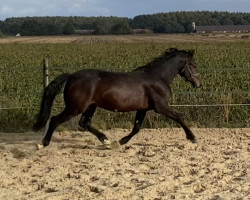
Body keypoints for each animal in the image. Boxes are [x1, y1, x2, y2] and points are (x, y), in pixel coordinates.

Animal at [33, 48, 201, 148]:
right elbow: (178, 117)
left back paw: (106, 141)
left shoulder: (143, 109)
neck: (158, 77)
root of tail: (71, 76)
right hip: (75, 107)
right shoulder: (160, 107)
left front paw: (121, 141)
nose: (198, 84)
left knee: (84, 122)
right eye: (193, 64)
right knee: (55, 119)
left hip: (91, 106)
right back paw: (43, 143)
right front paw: (192, 137)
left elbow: (137, 127)